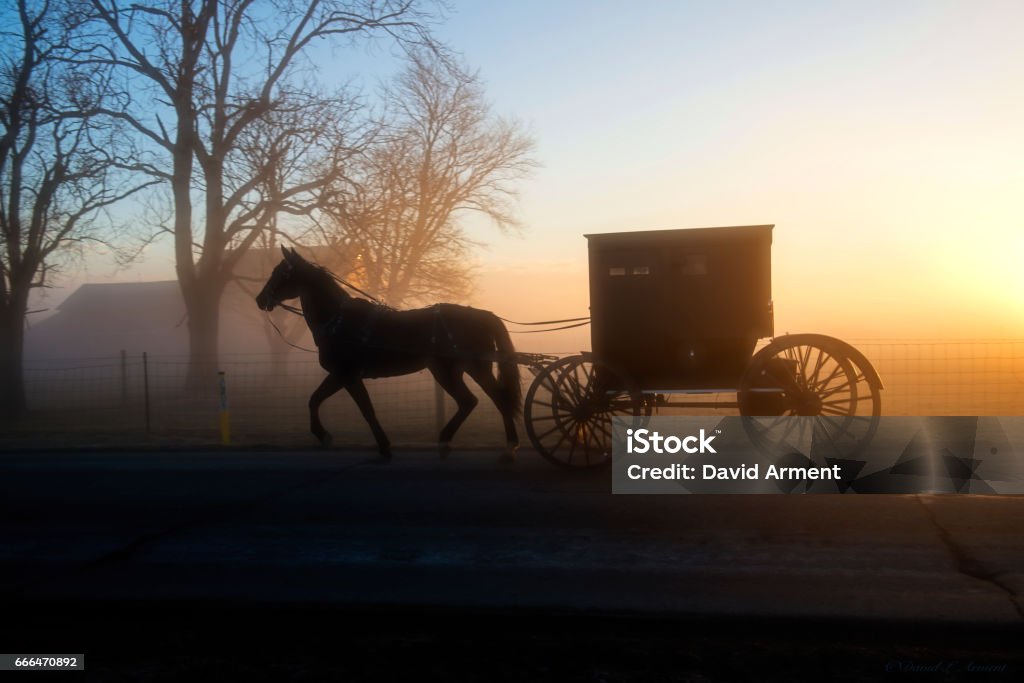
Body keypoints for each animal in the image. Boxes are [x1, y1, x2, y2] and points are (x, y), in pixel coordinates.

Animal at [252, 248, 524, 462]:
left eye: (280, 272)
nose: (260, 299)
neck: (339, 320)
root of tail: (483, 315)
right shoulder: (340, 375)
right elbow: (314, 399)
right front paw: (324, 435)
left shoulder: (347, 375)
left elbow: (365, 410)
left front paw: (381, 446)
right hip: (464, 369)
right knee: (485, 400)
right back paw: (482, 445)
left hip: (457, 370)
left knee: (482, 400)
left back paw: (481, 445)